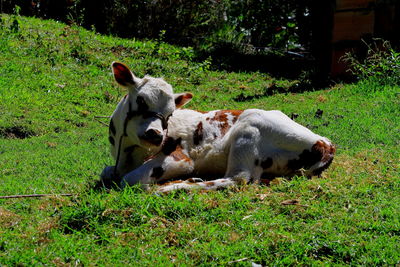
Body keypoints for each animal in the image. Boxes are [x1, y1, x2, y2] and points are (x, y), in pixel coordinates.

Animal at [100, 62, 334, 193]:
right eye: (140, 100)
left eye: (170, 113)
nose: (156, 134)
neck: (128, 154)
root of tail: (325, 143)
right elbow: (107, 172)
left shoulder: (181, 157)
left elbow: (129, 180)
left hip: (248, 128)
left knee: (237, 179)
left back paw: (174, 186)